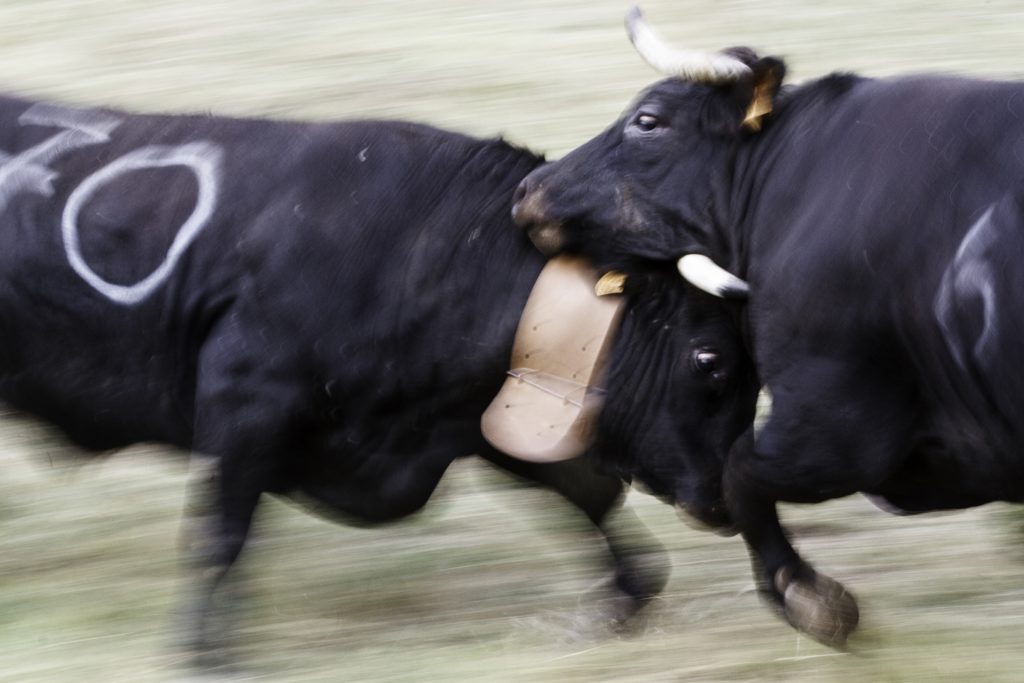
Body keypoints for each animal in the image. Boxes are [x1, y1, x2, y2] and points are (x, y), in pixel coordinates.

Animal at [0, 93, 753, 659]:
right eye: (709, 358)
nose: (726, 500)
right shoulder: (244, 403)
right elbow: (221, 537)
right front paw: (207, 656)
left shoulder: (492, 419)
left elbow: (586, 494)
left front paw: (624, 601)